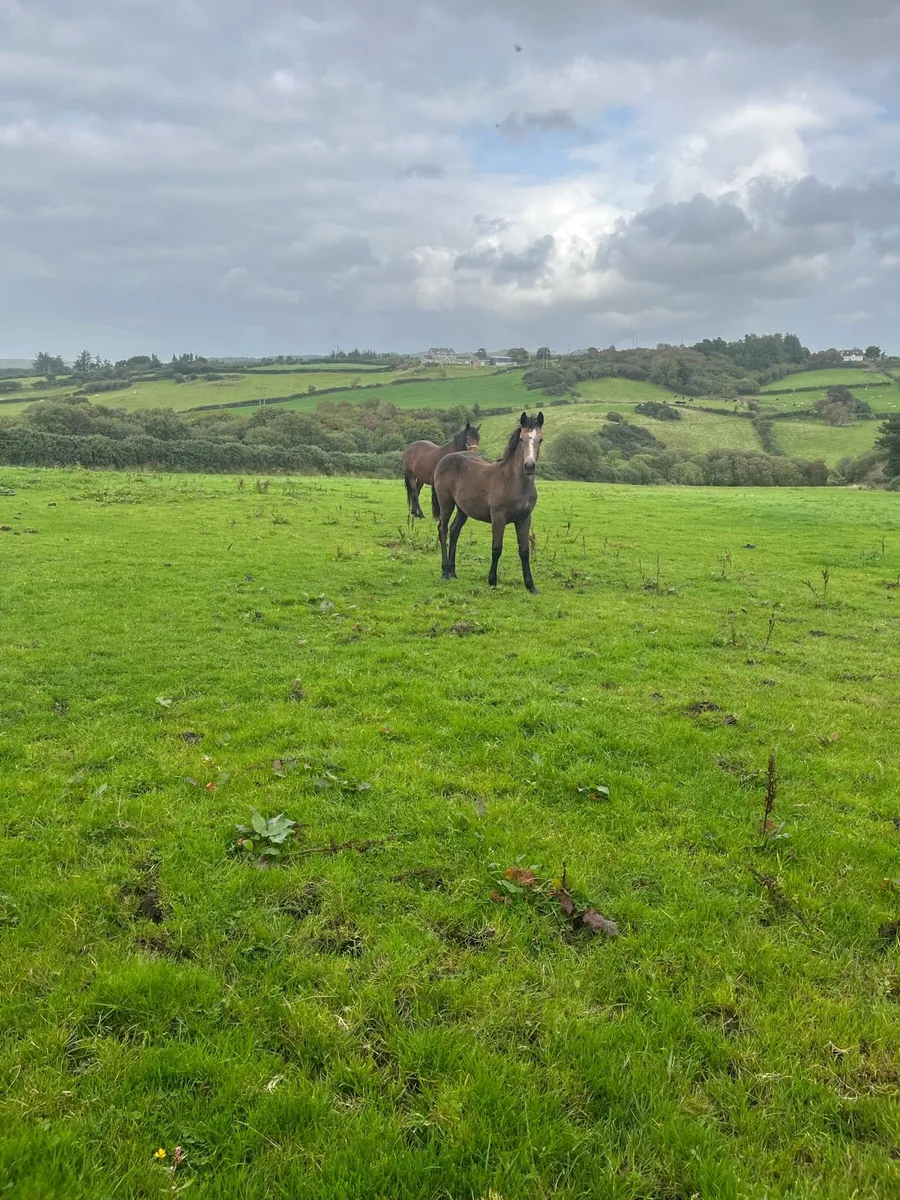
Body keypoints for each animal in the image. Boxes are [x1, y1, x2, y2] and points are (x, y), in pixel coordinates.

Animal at [432, 411, 544, 593]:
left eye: (541, 439)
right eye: (521, 439)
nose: (529, 466)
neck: (513, 481)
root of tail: (444, 459)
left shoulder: (525, 519)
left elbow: (525, 550)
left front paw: (531, 586)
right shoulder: (498, 517)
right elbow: (496, 548)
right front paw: (492, 580)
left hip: (463, 509)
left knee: (454, 531)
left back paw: (453, 572)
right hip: (446, 503)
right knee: (443, 530)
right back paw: (444, 571)